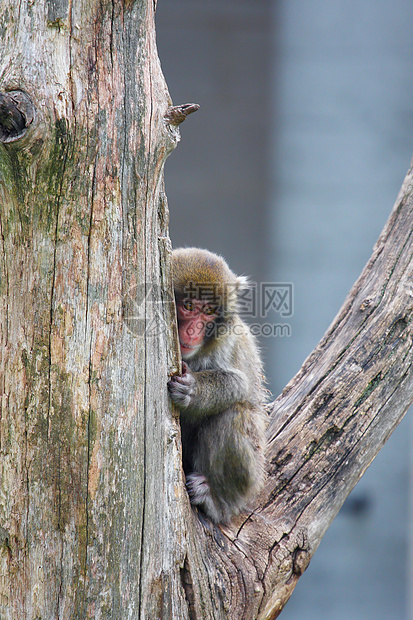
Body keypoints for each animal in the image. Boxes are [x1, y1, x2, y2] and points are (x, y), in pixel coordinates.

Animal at [166, 247, 266, 524]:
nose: (194, 330)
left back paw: (217, 498)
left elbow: (239, 384)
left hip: (253, 476)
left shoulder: (227, 340)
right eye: (189, 306)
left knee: (232, 413)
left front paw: (193, 390)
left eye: (209, 311)